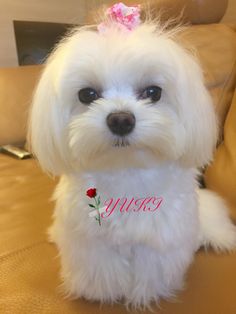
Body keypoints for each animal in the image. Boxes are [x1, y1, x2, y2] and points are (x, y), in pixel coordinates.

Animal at [29, 3, 236, 310]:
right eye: (87, 94)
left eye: (153, 92)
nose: (121, 120)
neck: (126, 168)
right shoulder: (93, 242)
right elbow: (103, 270)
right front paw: (101, 293)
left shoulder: (157, 241)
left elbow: (150, 270)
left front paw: (145, 297)